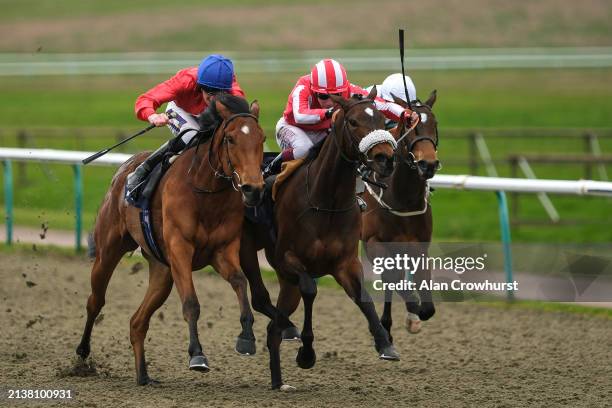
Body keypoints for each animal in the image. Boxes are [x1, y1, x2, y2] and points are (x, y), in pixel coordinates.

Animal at [74, 95, 266, 386]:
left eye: (262, 138)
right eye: (231, 139)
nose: (253, 188)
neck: (206, 190)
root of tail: (122, 171)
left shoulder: (222, 252)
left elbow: (240, 282)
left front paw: (246, 338)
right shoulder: (180, 250)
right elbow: (191, 303)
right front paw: (197, 355)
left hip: (162, 271)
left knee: (137, 322)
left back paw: (143, 376)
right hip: (109, 251)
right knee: (95, 301)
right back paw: (82, 354)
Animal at [240, 91, 406, 390]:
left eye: (379, 118)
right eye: (353, 121)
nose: (385, 158)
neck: (327, 201)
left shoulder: (346, 263)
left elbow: (363, 298)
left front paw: (384, 342)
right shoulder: (288, 258)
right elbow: (311, 290)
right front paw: (306, 353)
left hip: (286, 282)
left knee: (273, 330)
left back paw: (278, 381)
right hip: (247, 251)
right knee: (261, 301)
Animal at [358, 89, 440, 342]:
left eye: (435, 124)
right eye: (410, 125)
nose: (428, 164)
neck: (402, 199)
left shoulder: (417, 244)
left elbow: (427, 306)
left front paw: (414, 316)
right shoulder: (373, 242)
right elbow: (392, 278)